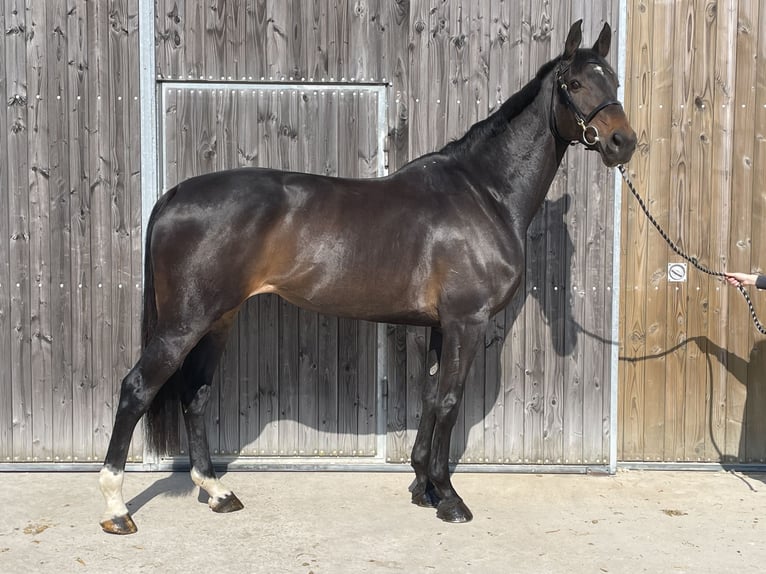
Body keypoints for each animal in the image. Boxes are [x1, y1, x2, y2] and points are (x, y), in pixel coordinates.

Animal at [99, 20, 636, 534]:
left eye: (613, 79)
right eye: (573, 82)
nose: (623, 143)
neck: (484, 193)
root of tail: (174, 195)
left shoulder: (441, 326)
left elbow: (429, 396)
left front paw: (422, 487)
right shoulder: (466, 322)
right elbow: (449, 402)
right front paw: (449, 498)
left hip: (219, 319)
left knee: (195, 395)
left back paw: (216, 491)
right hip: (184, 323)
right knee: (137, 389)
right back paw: (117, 509)